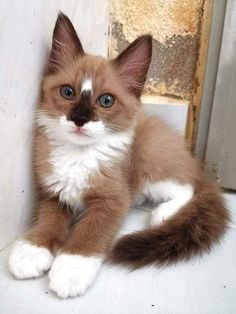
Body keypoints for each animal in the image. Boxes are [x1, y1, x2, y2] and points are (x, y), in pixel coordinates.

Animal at [8, 12, 230, 300]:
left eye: (106, 101)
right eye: (68, 92)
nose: (79, 119)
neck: (79, 155)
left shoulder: (112, 200)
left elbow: (89, 234)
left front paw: (71, 269)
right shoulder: (55, 193)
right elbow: (48, 222)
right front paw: (31, 251)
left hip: (149, 157)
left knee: (189, 188)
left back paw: (162, 214)